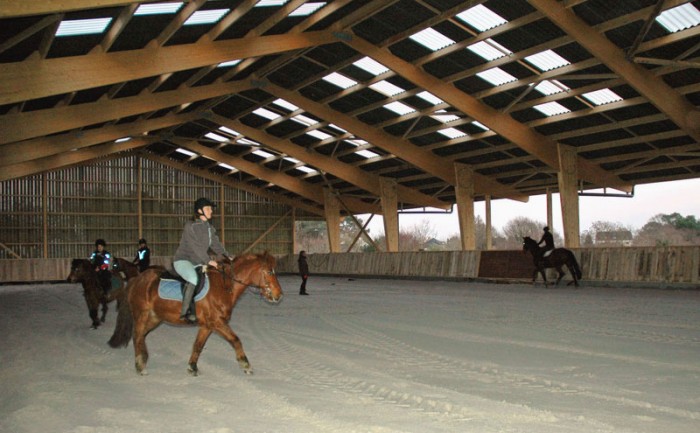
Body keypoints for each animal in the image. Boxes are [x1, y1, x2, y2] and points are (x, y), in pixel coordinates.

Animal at [108, 251, 284, 376]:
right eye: (269, 272)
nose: (279, 295)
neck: (224, 286)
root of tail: (137, 279)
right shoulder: (217, 322)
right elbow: (236, 340)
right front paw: (245, 364)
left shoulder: (207, 326)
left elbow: (198, 346)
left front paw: (192, 367)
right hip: (142, 315)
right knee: (137, 335)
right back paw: (140, 365)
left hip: (154, 318)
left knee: (141, 336)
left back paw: (142, 359)